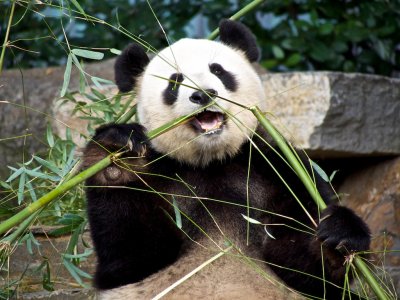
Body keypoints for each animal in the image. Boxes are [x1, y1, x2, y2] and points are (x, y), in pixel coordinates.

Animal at [83, 19, 370, 298]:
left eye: (218, 70)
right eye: (174, 82)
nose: (203, 94)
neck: (212, 161)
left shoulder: (276, 169)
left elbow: (305, 268)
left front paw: (339, 238)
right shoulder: (163, 172)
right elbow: (130, 259)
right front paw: (117, 155)